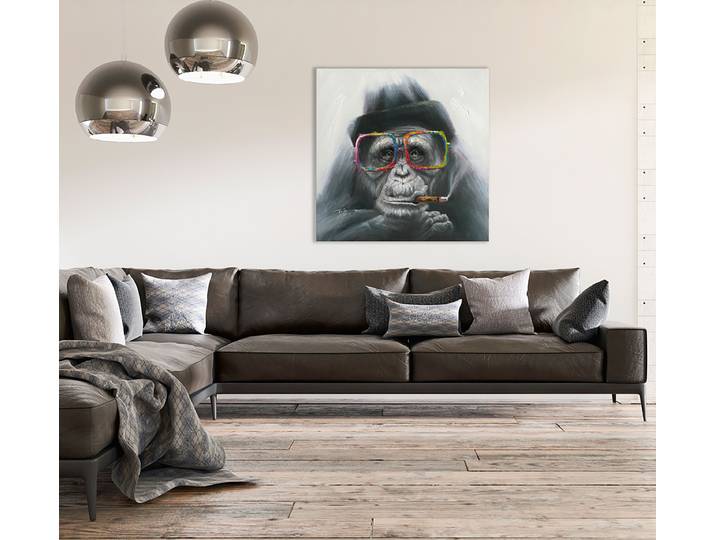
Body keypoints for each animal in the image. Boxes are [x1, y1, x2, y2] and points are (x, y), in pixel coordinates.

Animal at [316, 77, 488, 241]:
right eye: (387, 154)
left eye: (415, 153)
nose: (402, 173)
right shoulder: (342, 169)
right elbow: (325, 222)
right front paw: (409, 225)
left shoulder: (467, 177)